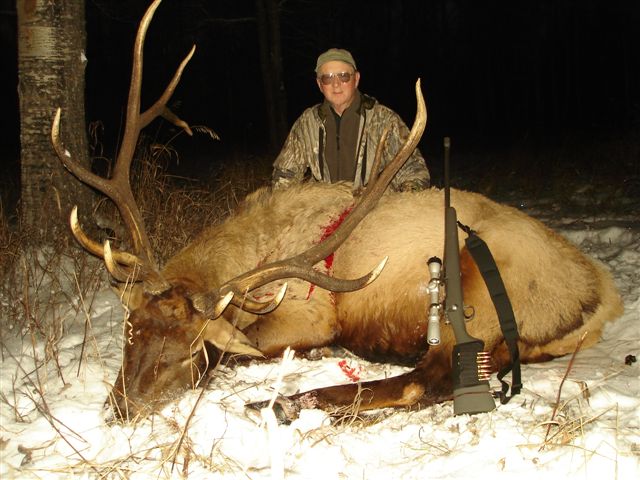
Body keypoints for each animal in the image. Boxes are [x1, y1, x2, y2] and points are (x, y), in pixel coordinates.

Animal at [52, 0, 623, 422]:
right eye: (131, 333)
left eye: (193, 347)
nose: (122, 408)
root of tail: (600, 296)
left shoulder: (307, 317)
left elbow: (248, 348)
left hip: (479, 285)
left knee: (428, 380)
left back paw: (286, 403)